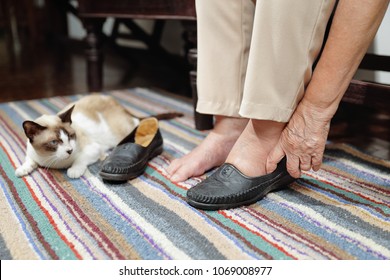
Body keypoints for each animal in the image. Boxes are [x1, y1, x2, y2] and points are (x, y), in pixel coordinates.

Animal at [15, 94, 180, 177]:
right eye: (55, 142)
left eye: (70, 137)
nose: (69, 150)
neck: (53, 161)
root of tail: (121, 107)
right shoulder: (32, 154)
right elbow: (29, 161)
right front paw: (22, 170)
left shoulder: (92, 149)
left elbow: (80, 160)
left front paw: (73, 171)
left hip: (121, 131)